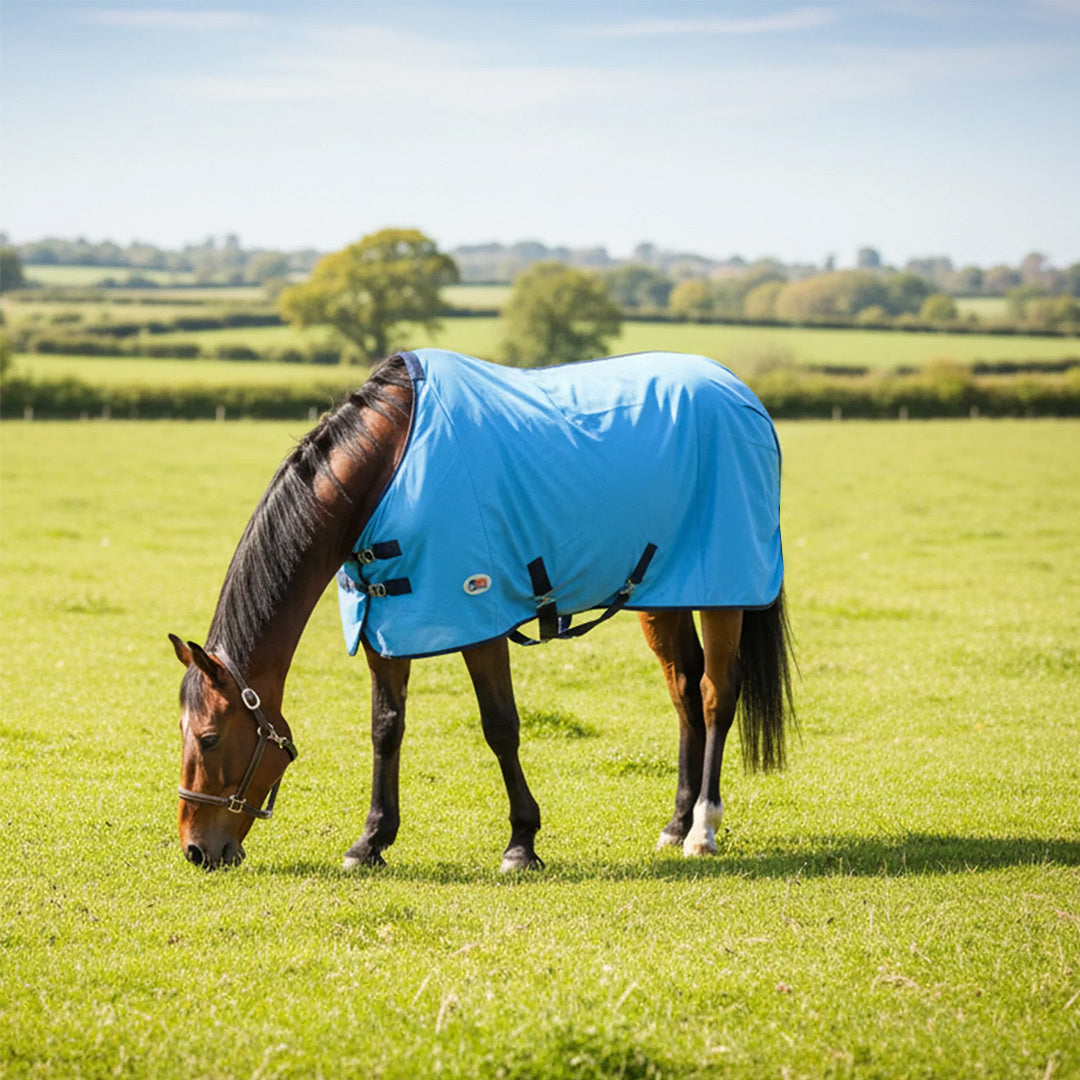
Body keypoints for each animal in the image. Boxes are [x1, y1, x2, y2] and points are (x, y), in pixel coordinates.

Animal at [170, 349, 795, 871]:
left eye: (208, 738)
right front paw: (371, 842)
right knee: (684, 690)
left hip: (725, 593)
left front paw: (522, 843)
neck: (388, 468)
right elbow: (385, 728)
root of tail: (740, 394)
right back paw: (676, 822)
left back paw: (702, 829)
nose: (197, 850)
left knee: (715, 694)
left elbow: (501, 727)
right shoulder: (387, 626)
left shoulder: (479, 619)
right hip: (663, 595)